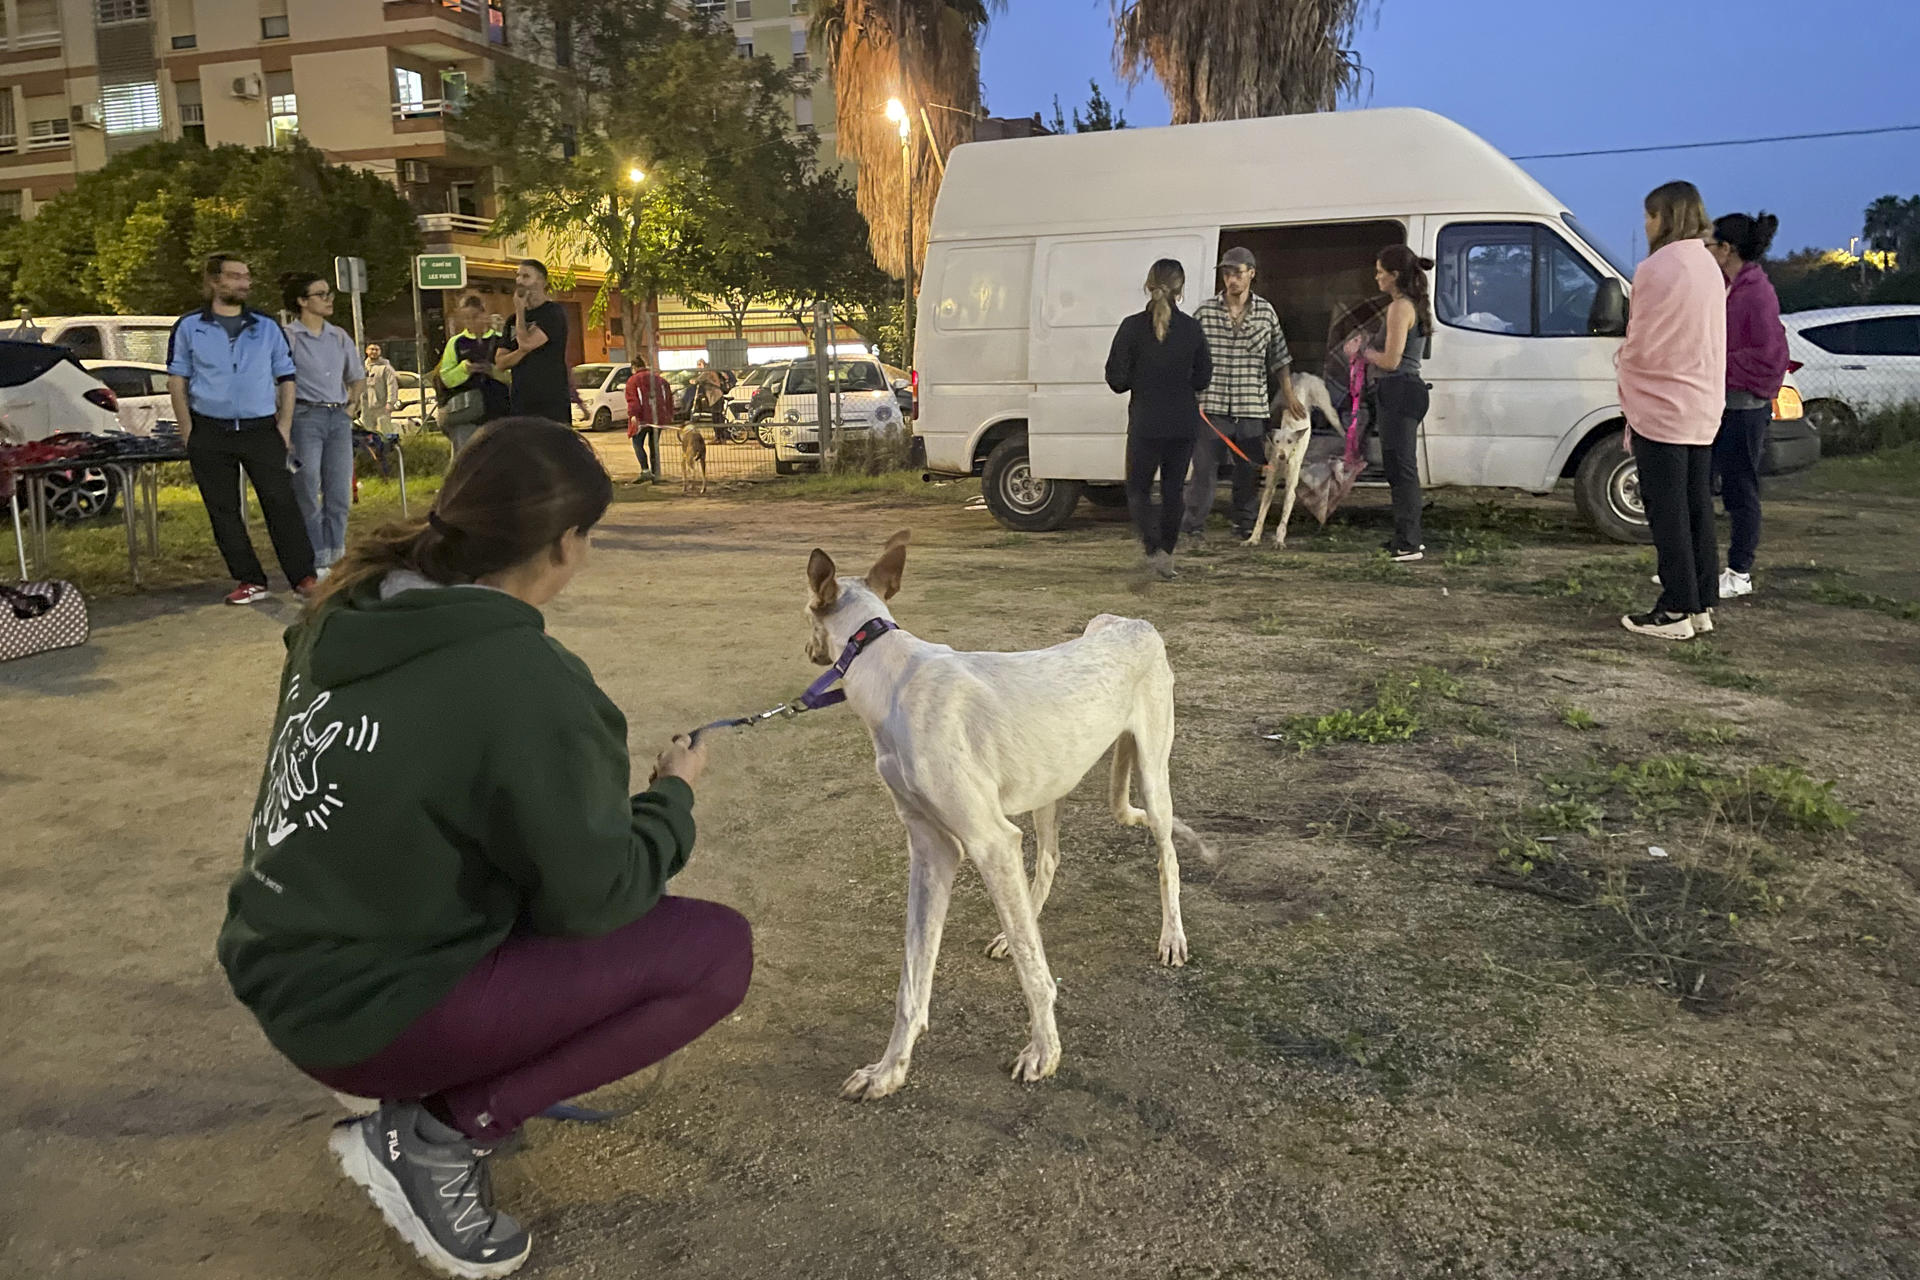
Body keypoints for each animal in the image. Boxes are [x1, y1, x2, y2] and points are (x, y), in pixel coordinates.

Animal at [810, 529, 1213, 1105]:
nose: (809, 650)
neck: (887, 670)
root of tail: (1129, 621)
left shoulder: (989, 840)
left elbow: (1034, 973)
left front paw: (1044, 1052)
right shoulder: (932, 850)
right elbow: (913, 980)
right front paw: (889, 1070)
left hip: (1154, 780)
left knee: (1167, 858)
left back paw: (1172, 938)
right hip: (1048, 787)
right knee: (1048, 861)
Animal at [1244, 372, 1336, 548]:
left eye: (1289, 441)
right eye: (1277, 441)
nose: (1281, 455)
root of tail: (1303, 376)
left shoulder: (1290, 490)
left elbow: (1283, 519)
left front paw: (1279, 540)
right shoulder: (1269, 487)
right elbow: (1260, 517)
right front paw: (1253, 538)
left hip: (1326, 405)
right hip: (1276, 401)